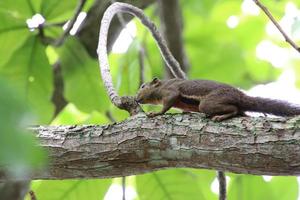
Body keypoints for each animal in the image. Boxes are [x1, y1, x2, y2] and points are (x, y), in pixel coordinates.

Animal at [135, 77, 300, 121]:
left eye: (143, 86)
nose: (136, 99)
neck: (162, 85)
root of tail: (240, 95)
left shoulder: (170, 91)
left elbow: (168, 103)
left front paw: (156, 113)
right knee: (241, 111)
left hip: (209, 102)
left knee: (234, 109)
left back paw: (221, 116)